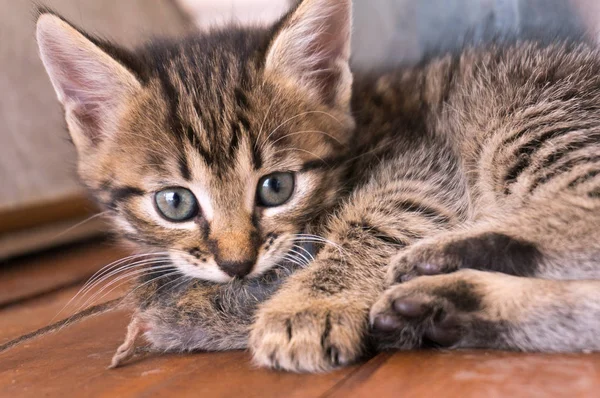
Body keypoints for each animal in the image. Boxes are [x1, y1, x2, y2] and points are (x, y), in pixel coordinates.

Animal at [36, 0, 600, 374]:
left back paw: (445, 256)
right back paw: (451, 304)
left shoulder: (421, 162)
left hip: (528, 122)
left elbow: (372, 223)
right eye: (174, 202)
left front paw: (307, 308)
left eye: (277, 187)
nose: (237, 264)